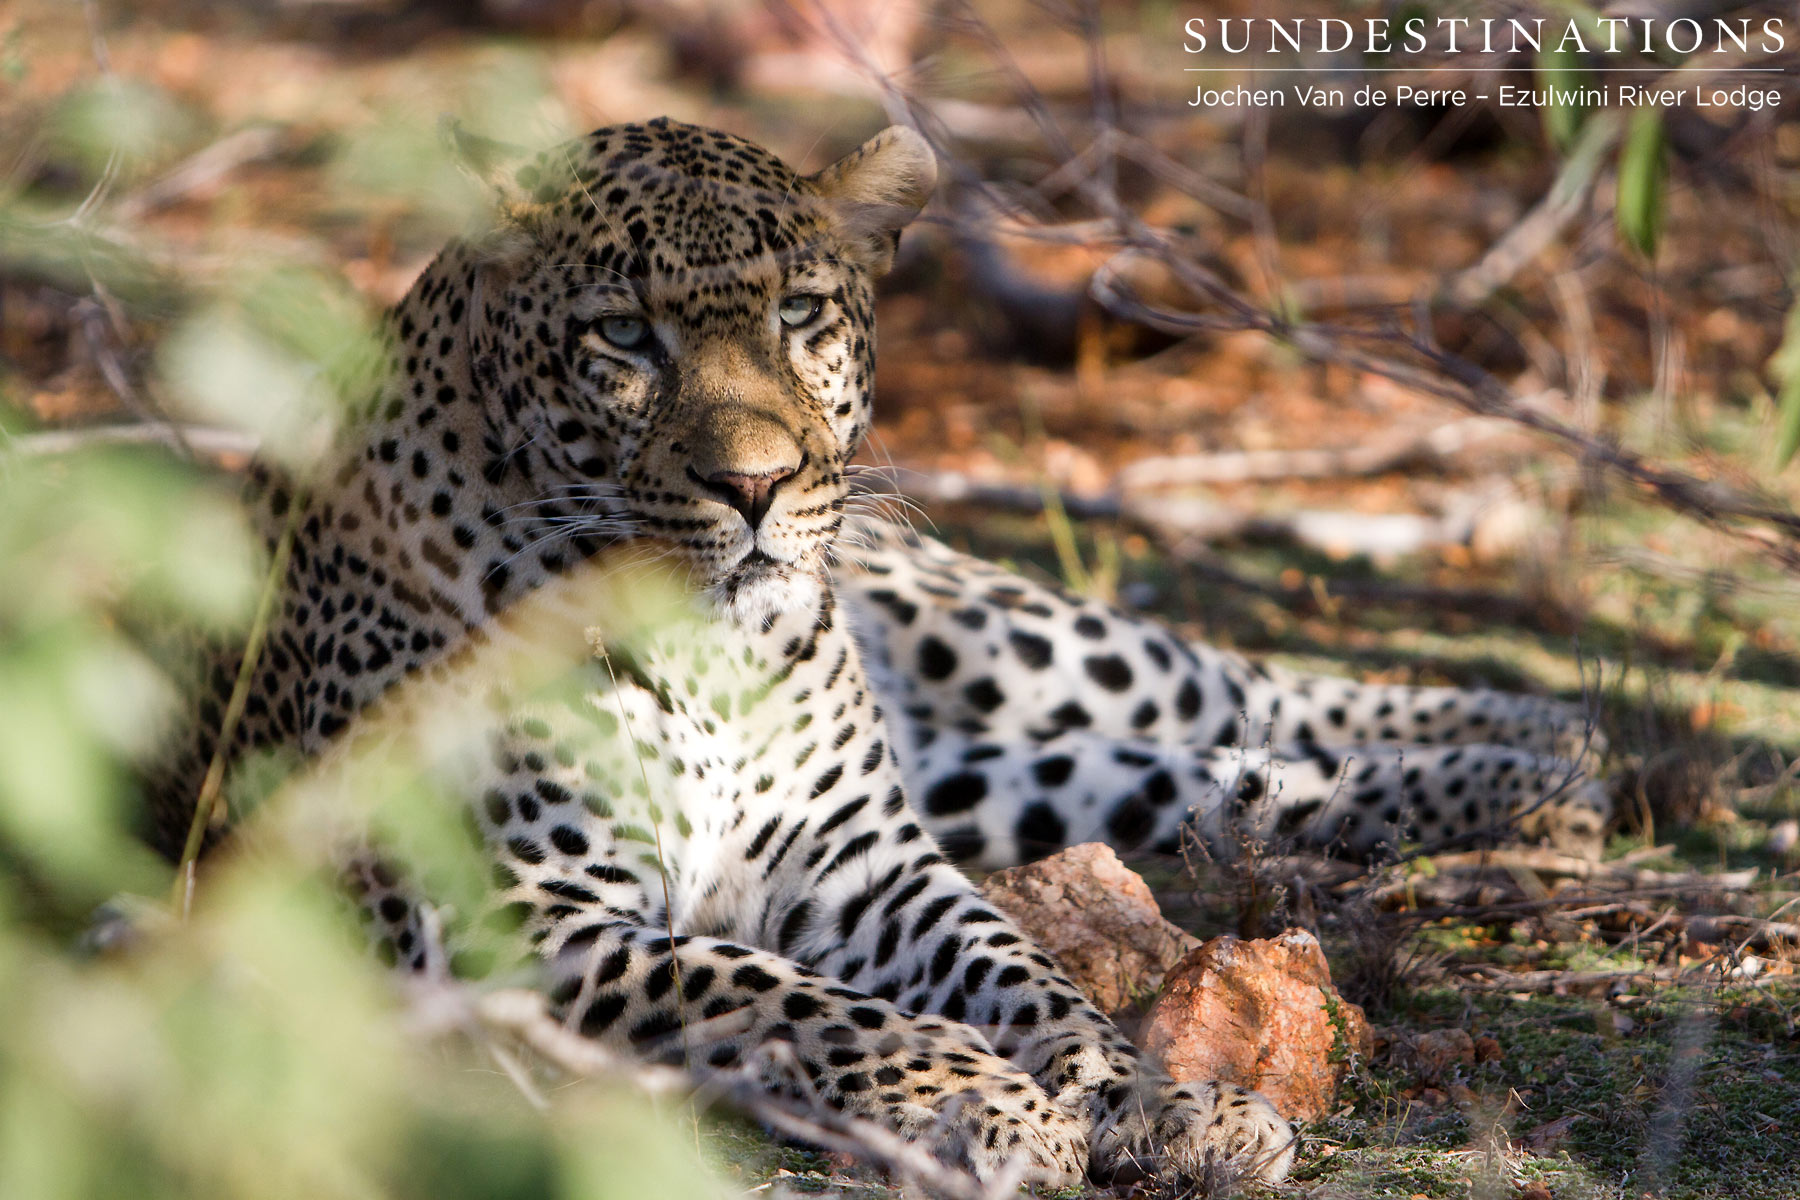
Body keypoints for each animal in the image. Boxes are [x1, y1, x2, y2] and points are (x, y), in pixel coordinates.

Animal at [144, 115, 1605, 1194]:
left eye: (800, 313)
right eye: (622, 335)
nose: (755, 486)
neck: (708, 659)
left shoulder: (866, 863)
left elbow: (1028, 976)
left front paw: (1157, 1103)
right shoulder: (503, 907)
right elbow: (786, 993)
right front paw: (987, 1105)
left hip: (1004, 646)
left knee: (1234, 684)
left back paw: (1557, 754)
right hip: (998, 769)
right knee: (1211, 772)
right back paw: (1546, 781)